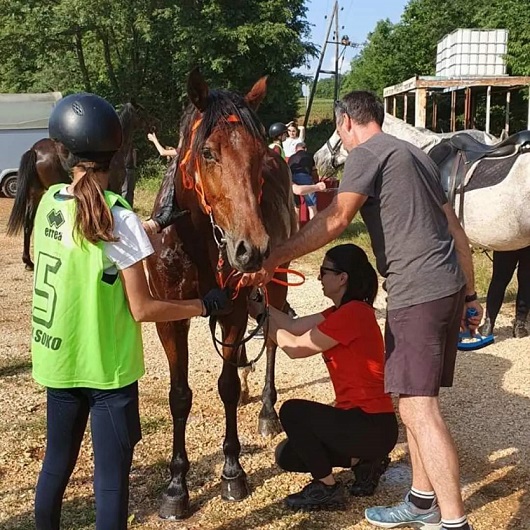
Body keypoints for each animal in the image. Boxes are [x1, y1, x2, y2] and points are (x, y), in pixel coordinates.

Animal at [6, 101, 155, 270]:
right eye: (142, 111)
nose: (153, 125)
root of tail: (35, 151)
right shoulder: (114, 188)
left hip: (35, 193)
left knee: (28, 225)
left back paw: (28, 261)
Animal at [145, 68, 296, 516]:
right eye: (208, 153)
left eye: (257, 152)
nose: (252, 248)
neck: (196, 240)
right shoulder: (170, 320)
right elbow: (179, 396)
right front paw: (176, 487)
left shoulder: (232, 311)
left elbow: (226, 386)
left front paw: (232, 472)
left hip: (277, 279)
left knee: (272, 336)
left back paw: (266, 409)